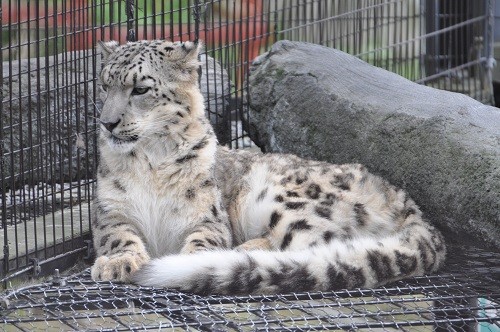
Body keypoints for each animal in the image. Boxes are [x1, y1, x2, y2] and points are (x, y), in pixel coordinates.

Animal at [90, 39, 446, 296]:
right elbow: (118, 235)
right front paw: (117, 263)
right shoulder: (111, 210)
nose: (107, 123)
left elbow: (204, 240)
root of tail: (405, 201)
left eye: (140, 88)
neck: (151, 161)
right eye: (105, 85)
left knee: (310, 246)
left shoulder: (207, 217)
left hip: (286, 199)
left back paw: (241, 254)